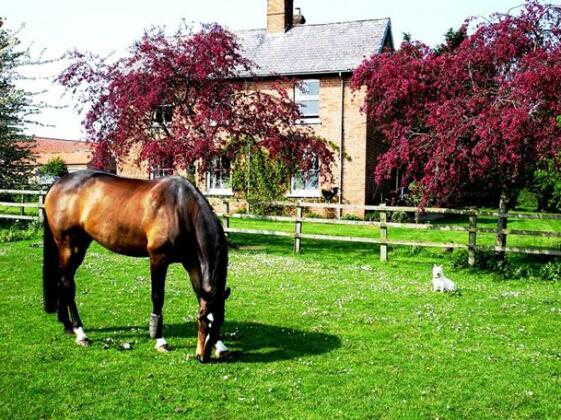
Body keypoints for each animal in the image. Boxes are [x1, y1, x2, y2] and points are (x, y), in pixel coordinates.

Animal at [41, 170, 230, 360]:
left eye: (219, 321)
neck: (181, 208)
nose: (202, 357)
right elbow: (158, 297)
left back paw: (67, 325)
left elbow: (200, 295)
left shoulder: (191, 262)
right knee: (67, 284)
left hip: (80, 244)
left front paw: (221, 346)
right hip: (69, 246)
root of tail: (58, 183)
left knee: (61, 281)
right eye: (201, 319)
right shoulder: (158, 258)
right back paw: (80, 332)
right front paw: (160, 341)